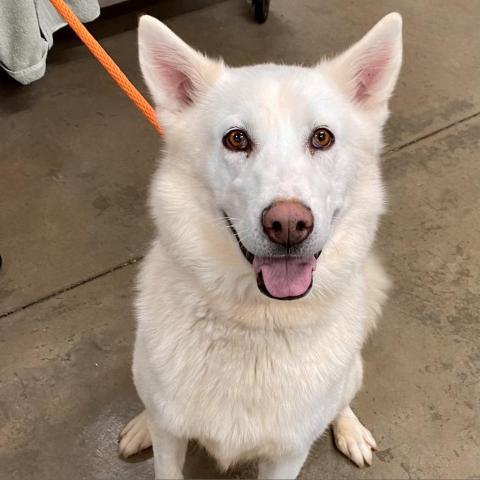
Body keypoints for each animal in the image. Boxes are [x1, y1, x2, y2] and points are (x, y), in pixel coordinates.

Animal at [119, 12, 402, 480]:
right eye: (236, 139)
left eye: (322, 138)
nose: (288, 225)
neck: (257, 323)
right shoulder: (170, 436)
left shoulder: (287, 455)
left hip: (350, 375)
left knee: (341, 399)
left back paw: (349, 428)